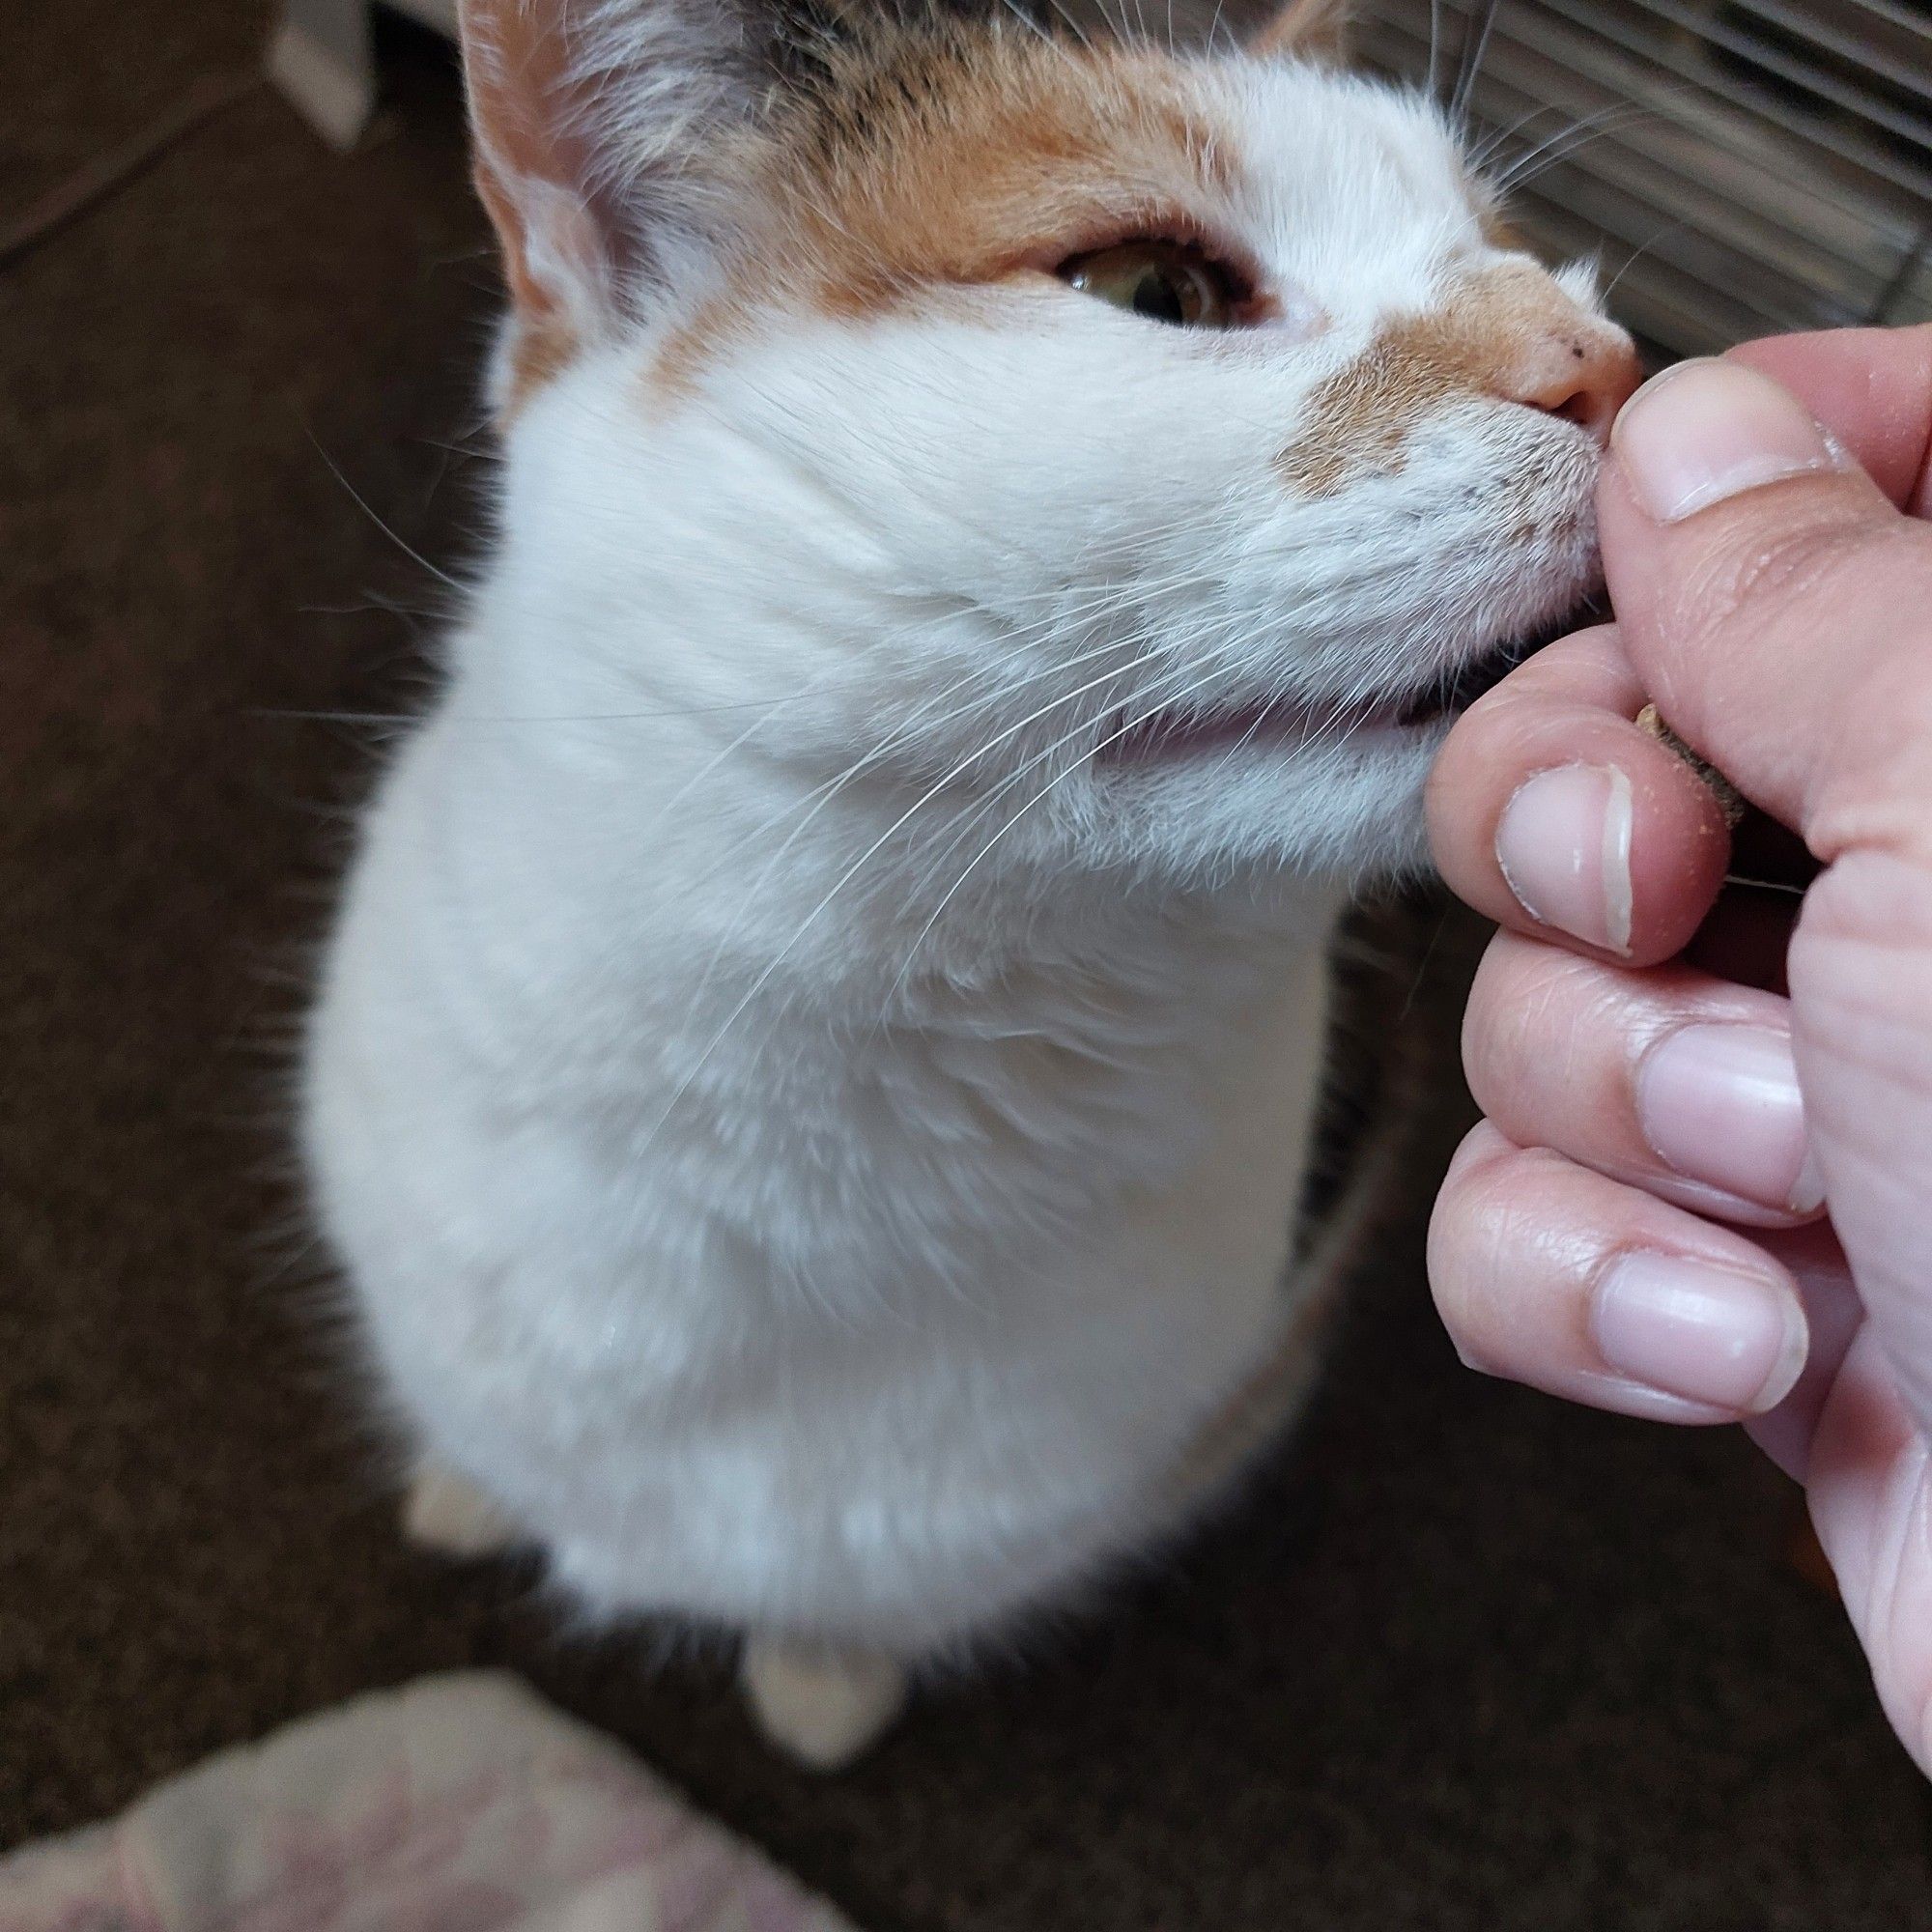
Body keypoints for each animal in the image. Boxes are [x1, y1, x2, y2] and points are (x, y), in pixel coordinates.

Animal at [301, 0, 1631, 1770]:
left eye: (1523, 255)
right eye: (1154, 290)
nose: (1610, 363)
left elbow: (851, 1606)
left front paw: (819, 1685)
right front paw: (467, 1490)